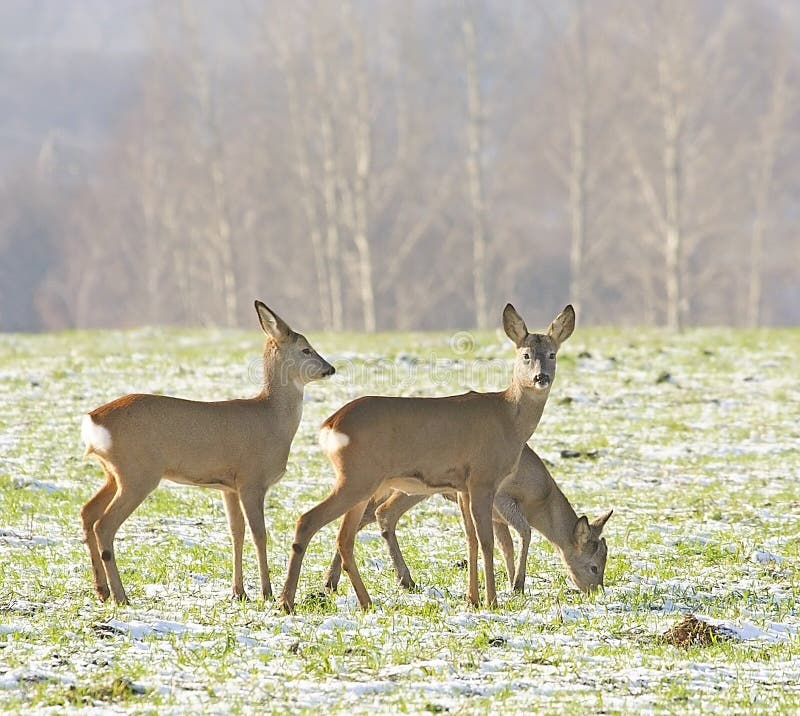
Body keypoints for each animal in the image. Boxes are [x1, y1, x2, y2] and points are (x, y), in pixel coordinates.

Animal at [79, 300, 334, 604]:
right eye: (306, 349)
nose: (330, 368)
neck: (272, 419)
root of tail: (93, 420)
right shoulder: (252, 479)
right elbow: (259, 533)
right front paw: (267, 592)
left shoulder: (228, 486)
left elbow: (236, 532)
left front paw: (239, 592)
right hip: (138, 473)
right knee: (104, 525)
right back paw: (121, 596)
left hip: (113, 473)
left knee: (87, 512)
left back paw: (102, 590)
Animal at [278, 300, 572, 608]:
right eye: (526, 355)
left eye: (552, 353)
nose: (541, 377)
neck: (508, 416)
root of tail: (330, 424)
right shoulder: (483, 478)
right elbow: (487, 540)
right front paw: (492, 600)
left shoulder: (462, 486)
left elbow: (471, 539)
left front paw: (473, 599)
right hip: (357, 477)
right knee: (308, 520)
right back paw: (287, 601)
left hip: (360, 482)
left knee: (344, 538)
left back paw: (364, 601)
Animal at [322, 444, 608, 596]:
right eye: (594, 566)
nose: (596, 591)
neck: (540, 497)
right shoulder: (502, 499)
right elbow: (524, 533)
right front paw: (517, 584)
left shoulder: (496, 517)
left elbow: (506, 545)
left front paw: (509, 582)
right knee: (381, 514)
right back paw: (405, 580)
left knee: (367, 516)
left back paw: (331, 581)